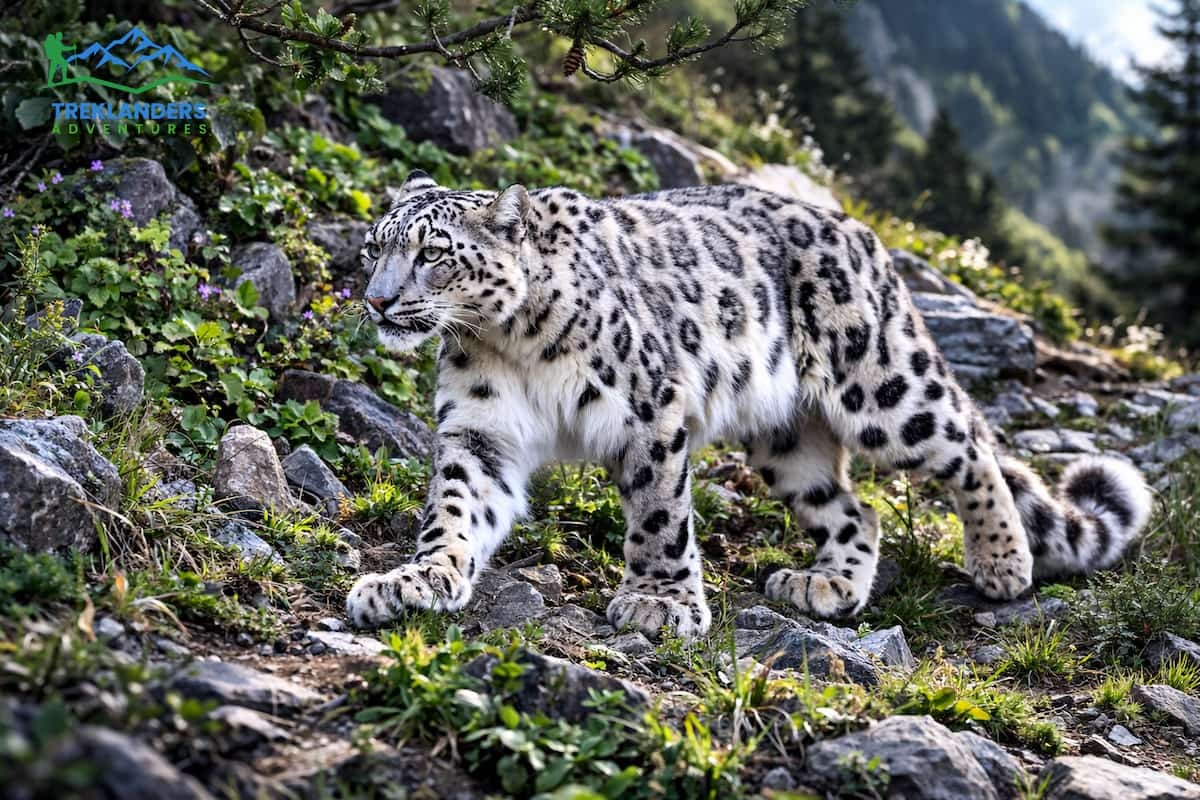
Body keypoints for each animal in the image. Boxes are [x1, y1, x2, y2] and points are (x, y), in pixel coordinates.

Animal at [345, 169, 1153, 639]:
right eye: (373, 247)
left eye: (432, 253)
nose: (377, 300)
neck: (507, 341)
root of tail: (864, 234)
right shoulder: (482, 433)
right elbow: (456, 509)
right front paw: (416, 582)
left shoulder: (651, 410)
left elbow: (659, 515)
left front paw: (660, 603)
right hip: (786, 437)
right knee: (857, 509)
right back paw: (827, 586)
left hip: (883, 386)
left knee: (970, 447)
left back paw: (1002, 563)